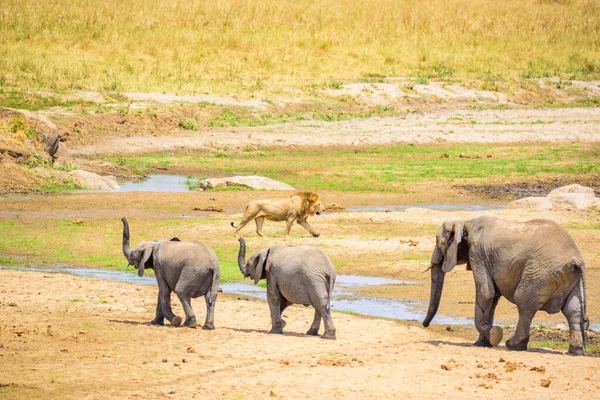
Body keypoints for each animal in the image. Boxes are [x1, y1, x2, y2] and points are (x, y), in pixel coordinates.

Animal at [424, 217, 588, 354]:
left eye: (439, 243)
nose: (424, 325)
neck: (465, 222)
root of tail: (577, 259)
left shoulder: (478, 253)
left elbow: (486, 293)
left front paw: (493, 334)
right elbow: (493, 297)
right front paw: (483, 342)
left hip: (540, 273)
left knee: (524, 304)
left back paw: (513, 345)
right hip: (570, 277)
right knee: (573, 310)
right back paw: (575, 351)